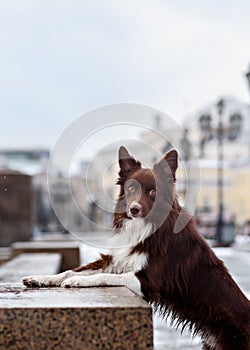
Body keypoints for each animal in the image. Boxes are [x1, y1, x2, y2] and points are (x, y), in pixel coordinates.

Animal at [23, 146, 250, 348]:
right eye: (131, 188)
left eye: (153, 191)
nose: (134, 209)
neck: (145, 227)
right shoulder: (115, 261)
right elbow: (71, 270)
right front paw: (42, 278)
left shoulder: (148, 280)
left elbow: (104, 277)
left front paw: (78, 281)